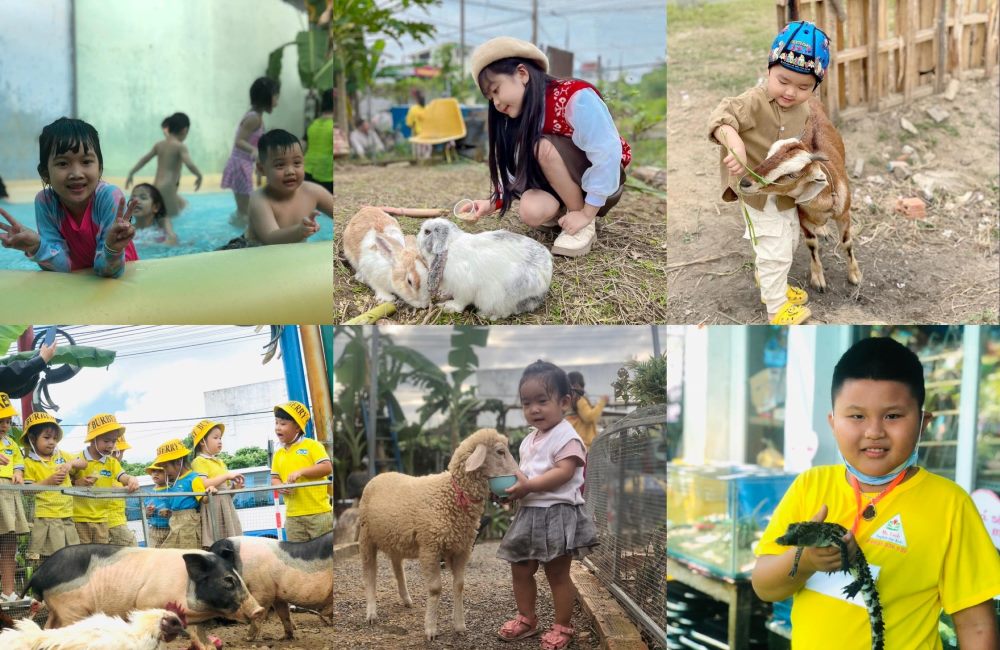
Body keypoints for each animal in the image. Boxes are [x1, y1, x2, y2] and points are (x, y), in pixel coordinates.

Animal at [360, 426, 520, 636]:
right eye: (500, 452)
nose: (521, 477)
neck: (452, 494)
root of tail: (381, 475)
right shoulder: (430, 547)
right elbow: (435, 588)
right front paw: (430, 628)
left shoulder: (462, 549)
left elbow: (459, 585)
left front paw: (459, 625)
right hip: (366, 537)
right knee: (369, 573)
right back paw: (371, 612)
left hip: (396, 537)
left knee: (397, 566)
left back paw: (406, 598)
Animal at [416, 218, 556, 318]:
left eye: (427, 232)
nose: (417, 236)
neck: (450, 244)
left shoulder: (463, 288)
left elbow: (460, 302)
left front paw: (448, 307)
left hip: (502, 295)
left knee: (506, 311)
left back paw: (485, 315)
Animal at [740, 97, 864, 290]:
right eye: (769, 155)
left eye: (792, 174)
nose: (745, 183)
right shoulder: (803, 218)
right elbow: (812, 244)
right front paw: (818, 279)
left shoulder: (844, 214)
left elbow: (846, 242)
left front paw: (855, 275)